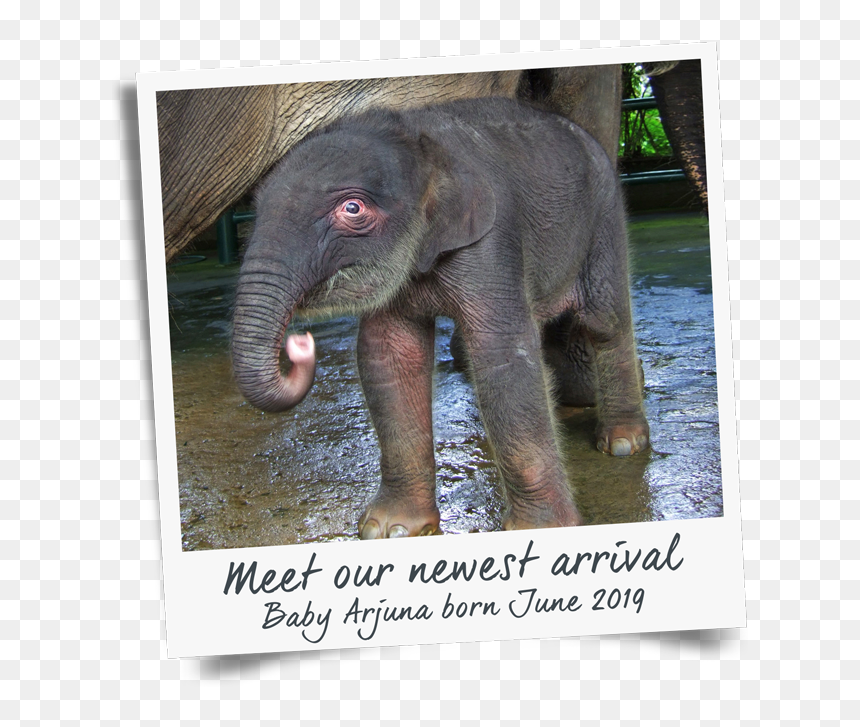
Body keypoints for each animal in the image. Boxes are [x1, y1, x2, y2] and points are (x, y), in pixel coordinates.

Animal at [231, 97, 650, 539]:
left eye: (352, 208)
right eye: (256, 209)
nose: (300, 343)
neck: (418, 140)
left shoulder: (491, 240)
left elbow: (502, 356)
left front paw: (540, 530)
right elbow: (389, 356)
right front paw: (390, 528)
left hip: (605, 218)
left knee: (605, 321)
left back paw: (623, 442)